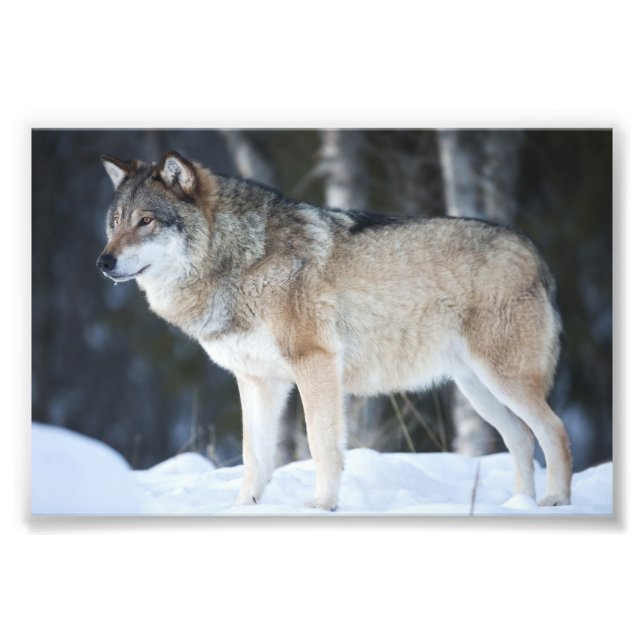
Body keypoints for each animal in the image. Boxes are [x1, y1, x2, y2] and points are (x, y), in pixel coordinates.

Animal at [97, 150, 572, 510]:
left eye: (146, 221)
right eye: (115, 222)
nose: (103, 261)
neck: (239, 259)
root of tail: (535, 252)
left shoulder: (315, 364)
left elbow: (321, 443)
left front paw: (322, 505)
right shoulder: (257, 381)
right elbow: (255, 457)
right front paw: (242, 509)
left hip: (503, 380)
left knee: (555, 432)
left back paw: (554, 503)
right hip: (477, 390)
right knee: (522, 438)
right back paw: (518, 506)